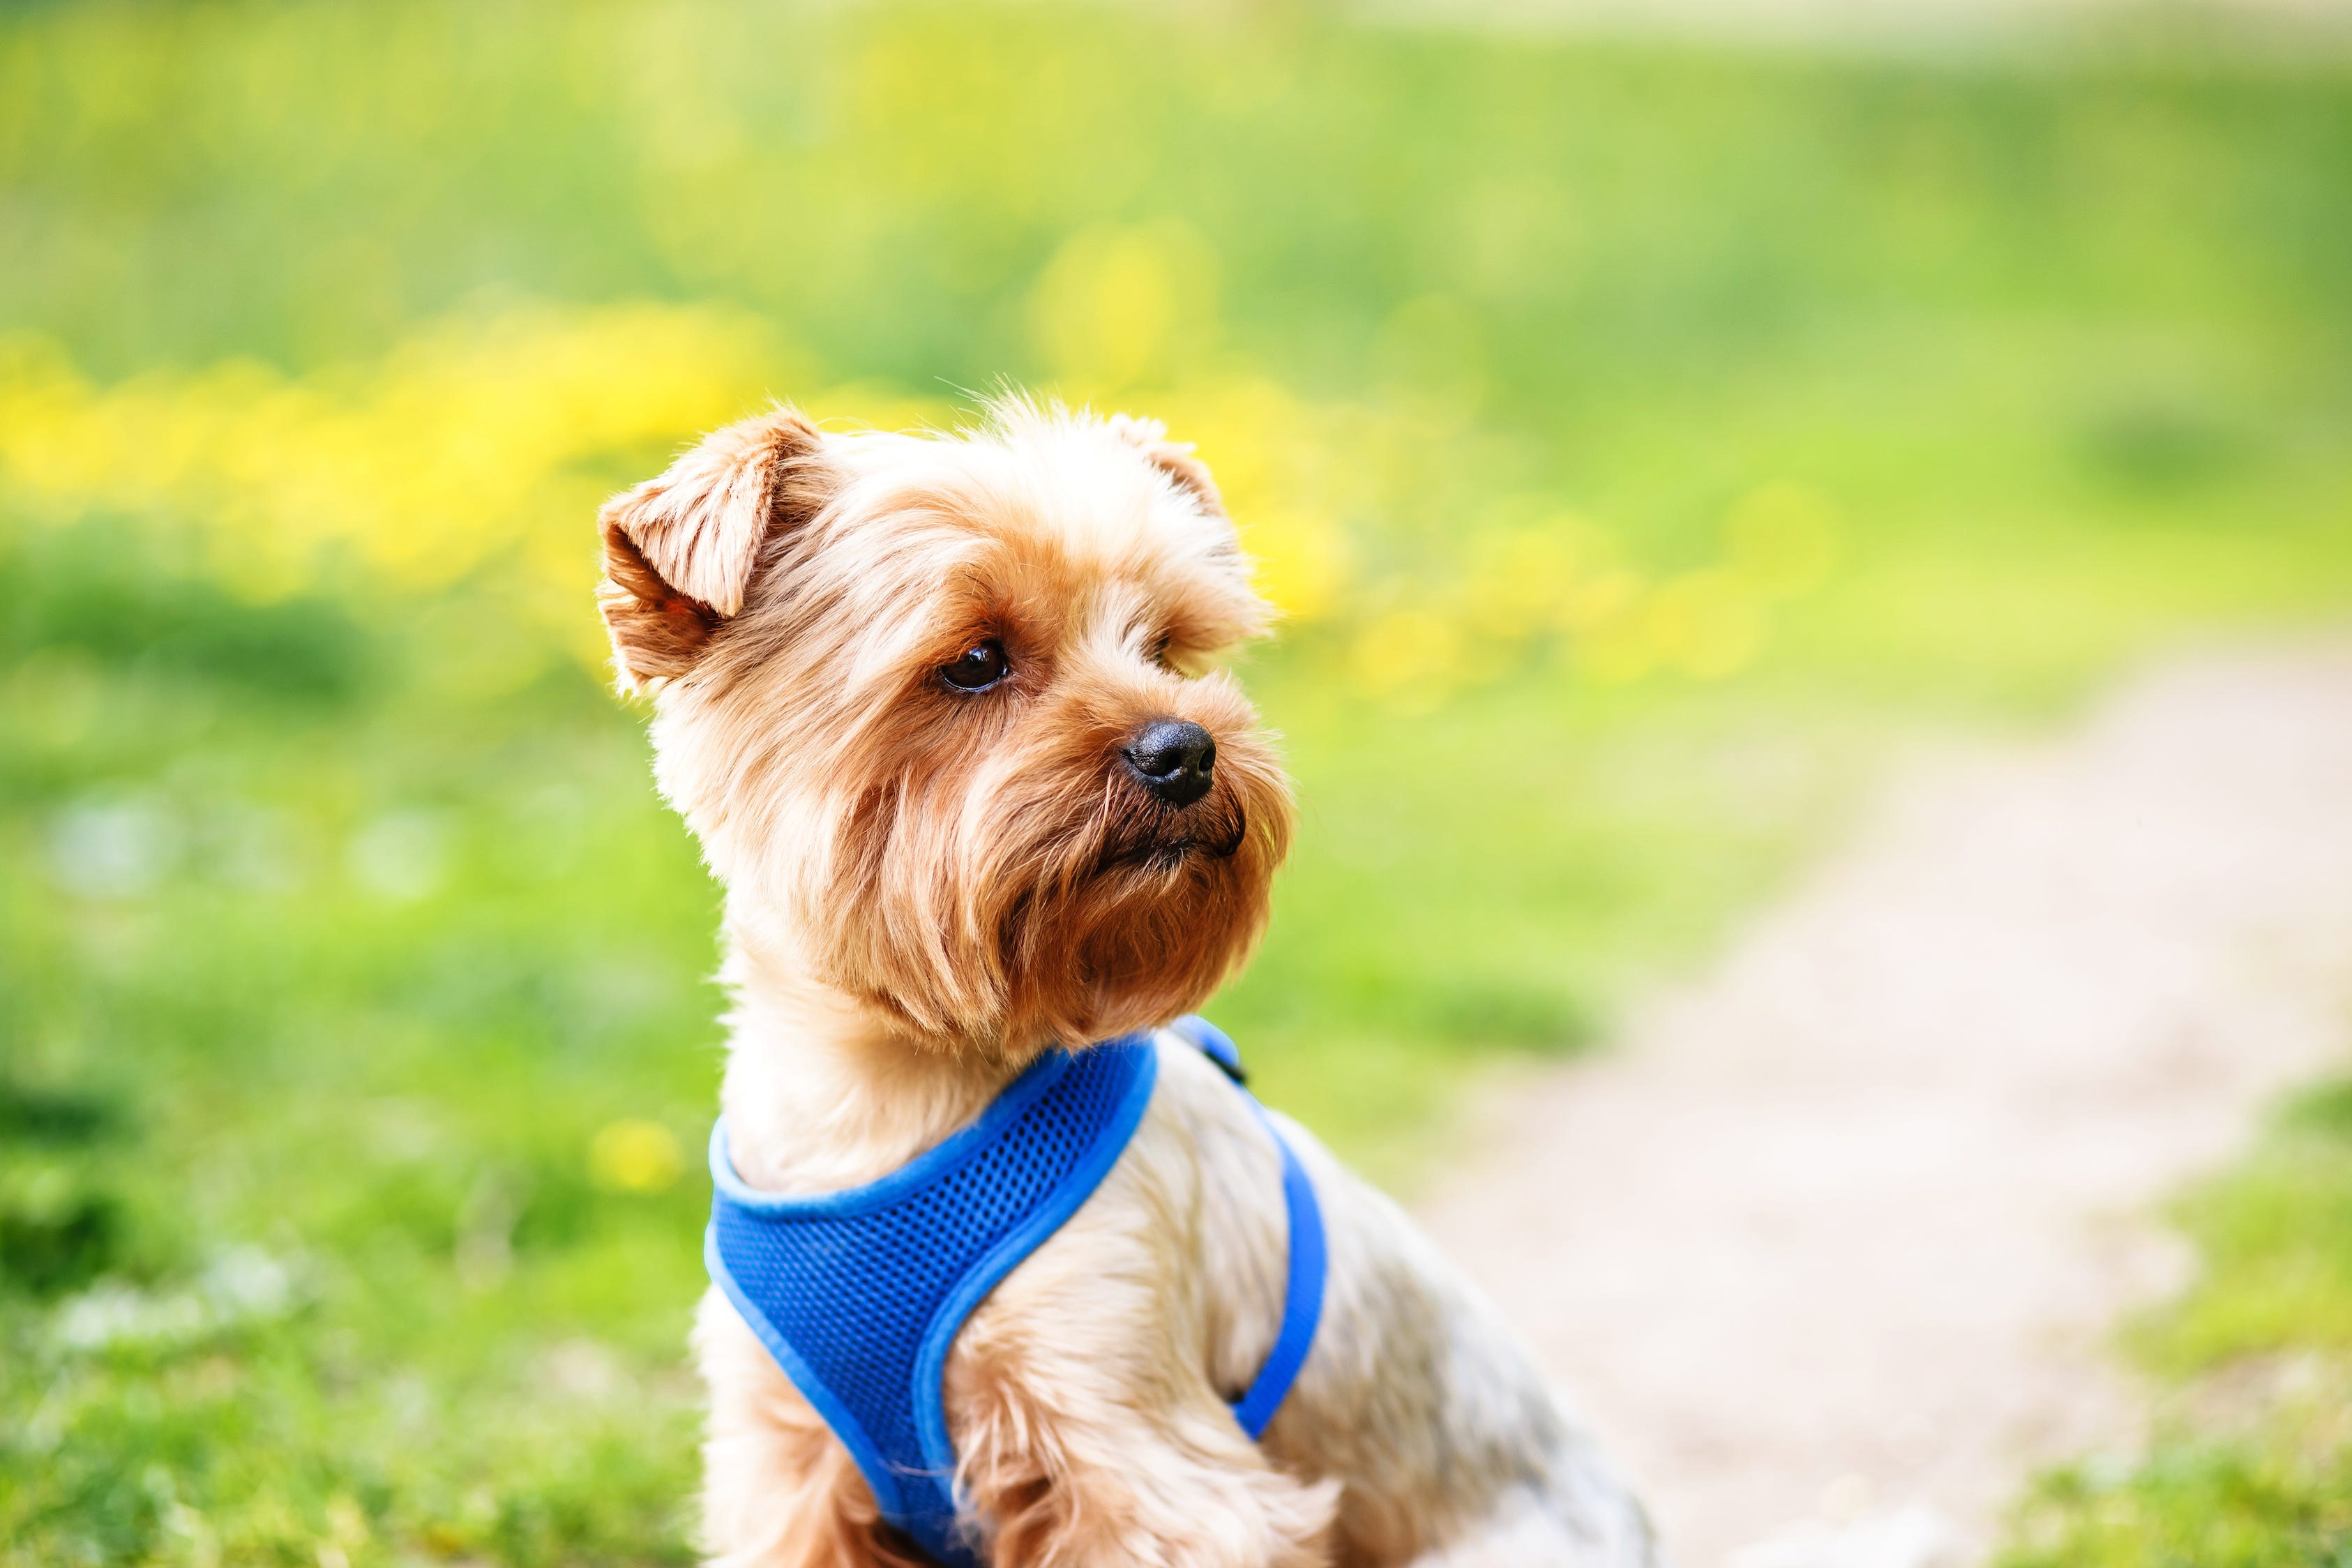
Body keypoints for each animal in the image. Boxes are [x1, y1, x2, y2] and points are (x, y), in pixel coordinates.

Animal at [592, 399, 1655, 1560]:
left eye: (1164, 648)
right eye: (975, 661)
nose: (1185, 747)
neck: (888, 1092)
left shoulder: (1134, 1444)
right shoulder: (786, 1466)